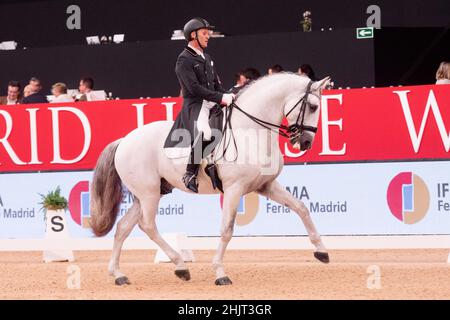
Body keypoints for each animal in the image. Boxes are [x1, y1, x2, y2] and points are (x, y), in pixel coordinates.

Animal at [90, 72, 330, 284]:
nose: (306, 143)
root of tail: (123, 140)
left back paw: (119, 274)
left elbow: (301, 208)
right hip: (149, 194)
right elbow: (226, 230)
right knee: (147, 225)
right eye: (313, 106)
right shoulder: (234, 189)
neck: (250, 132)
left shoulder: (266, 185)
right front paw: (220, 273)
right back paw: (180, 265)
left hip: (147, 194)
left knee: (123, 227)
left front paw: (322, 251)